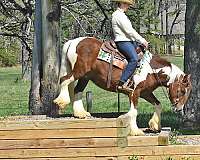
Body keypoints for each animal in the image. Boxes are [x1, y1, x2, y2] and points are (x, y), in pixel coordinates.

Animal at [53, 37, 192, 136]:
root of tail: (73, 41)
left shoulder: (146, 92)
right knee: (64, 80)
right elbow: (134, 111)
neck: (150, 70)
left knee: (77, 90)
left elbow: (158, 105)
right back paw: (62, 102)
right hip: (79, 71)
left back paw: (80, 113)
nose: (179, 109)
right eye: (182, 91)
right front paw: (136, 131)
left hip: (85, 77)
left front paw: (154, 126)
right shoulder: (134, 92)